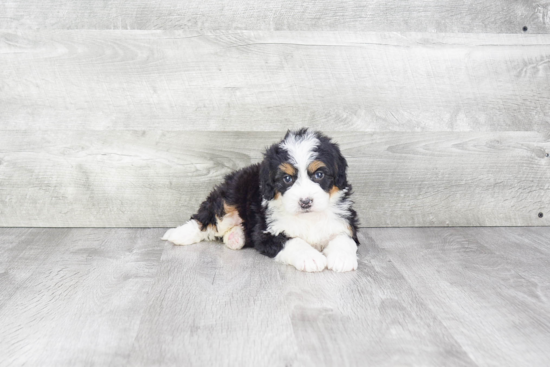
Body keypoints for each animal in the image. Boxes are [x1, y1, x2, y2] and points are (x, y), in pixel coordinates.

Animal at [163, 128, 362, 272]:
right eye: (287, 179)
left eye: (319, 175)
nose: (305, 202)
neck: (308, 218)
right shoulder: (268, 232)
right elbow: (293, 241)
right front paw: (310, 257)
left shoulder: (345, 221)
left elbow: (344, 237)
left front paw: (342, 258)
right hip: (230, 197)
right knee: (207, 218)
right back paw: (178, 234)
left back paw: (236, 237)